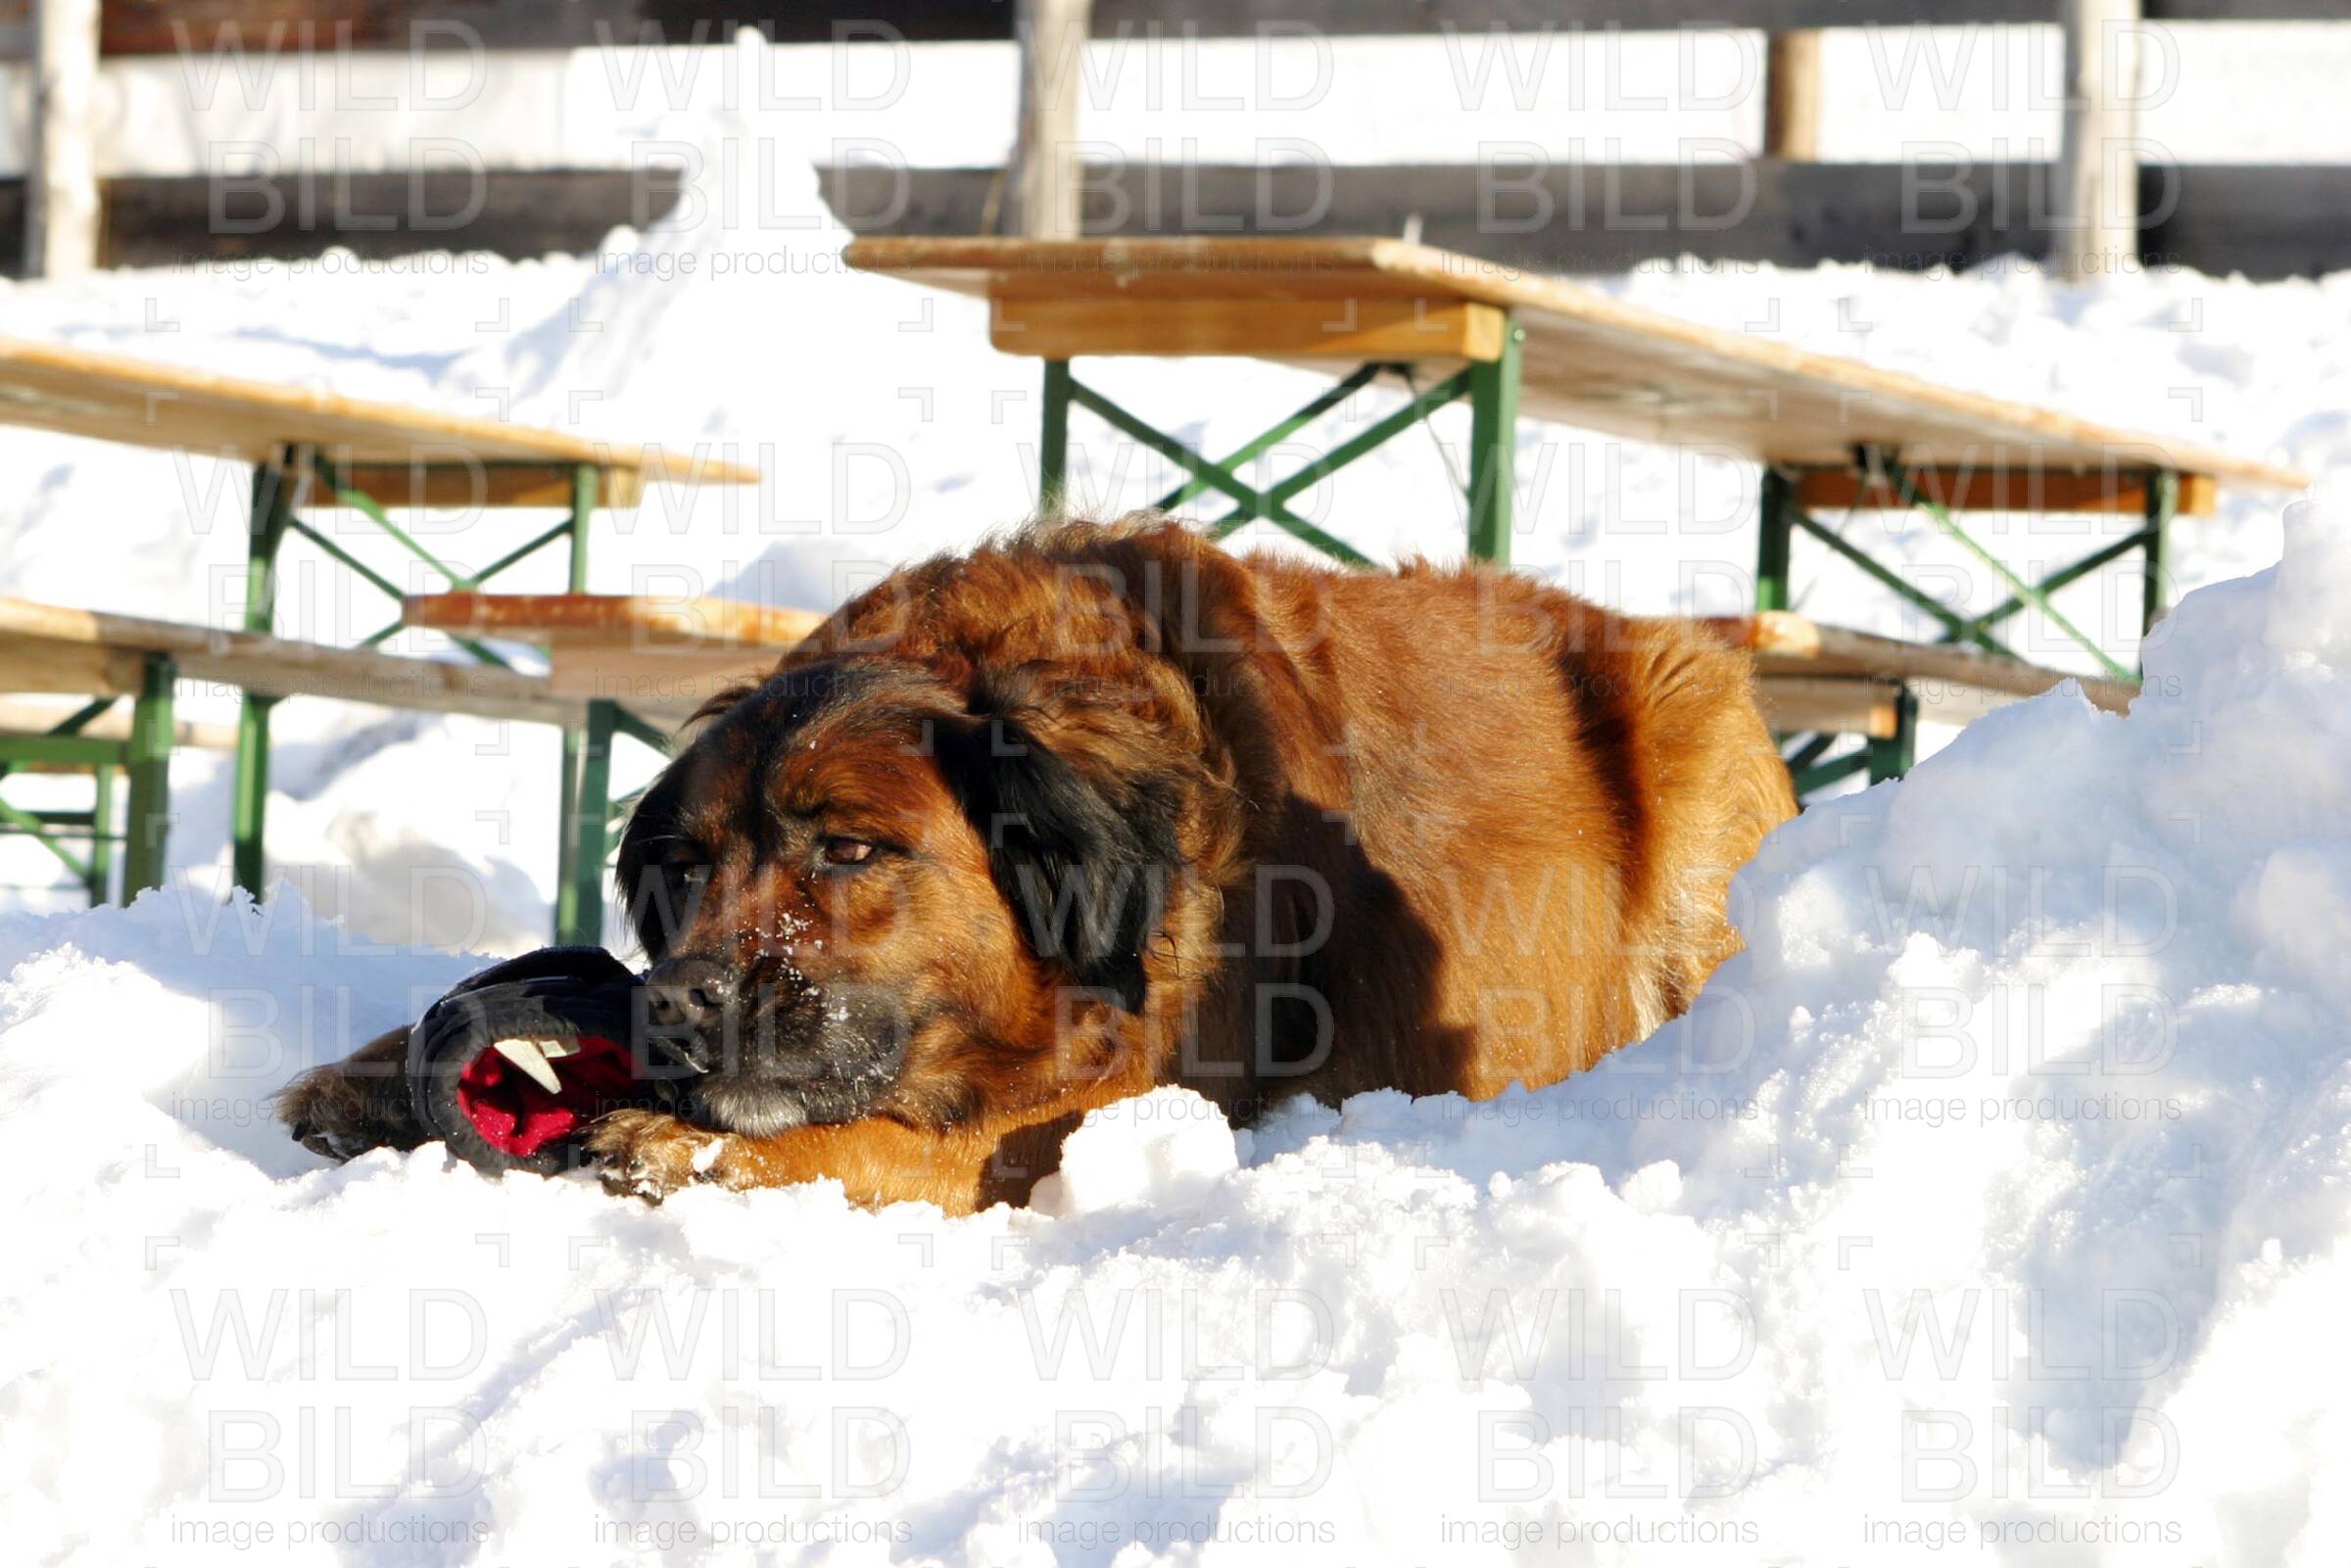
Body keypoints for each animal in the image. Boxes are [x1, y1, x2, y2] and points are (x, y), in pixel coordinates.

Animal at [281, 516, 1794, 1209]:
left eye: (849, 847)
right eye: (691, 868)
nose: (677, 1003)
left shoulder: (1109, 1099)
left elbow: (898, 1139)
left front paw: (678, 1140)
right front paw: (366, 1072)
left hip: (1692, 734)